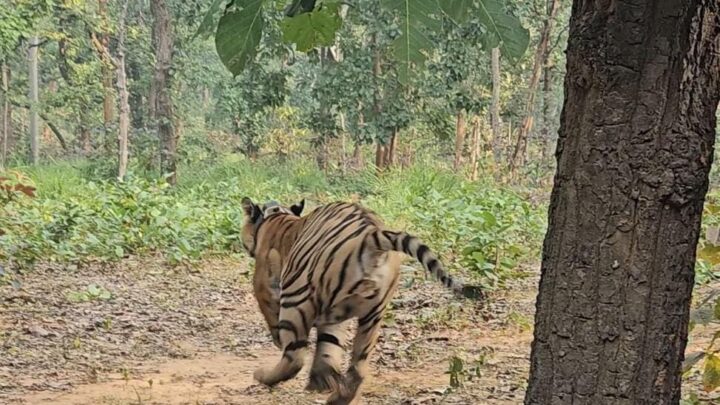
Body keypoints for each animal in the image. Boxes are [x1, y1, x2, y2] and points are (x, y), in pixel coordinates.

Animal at [242, 197, 484, 402]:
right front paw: (321, 380)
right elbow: (329, 346)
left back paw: (263, 375)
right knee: (357, 368)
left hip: (296, 298)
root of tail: (371, 236)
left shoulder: (264, 285)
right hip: (372, 315)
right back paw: (336, 396)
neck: (275, 217)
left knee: (295, 358)